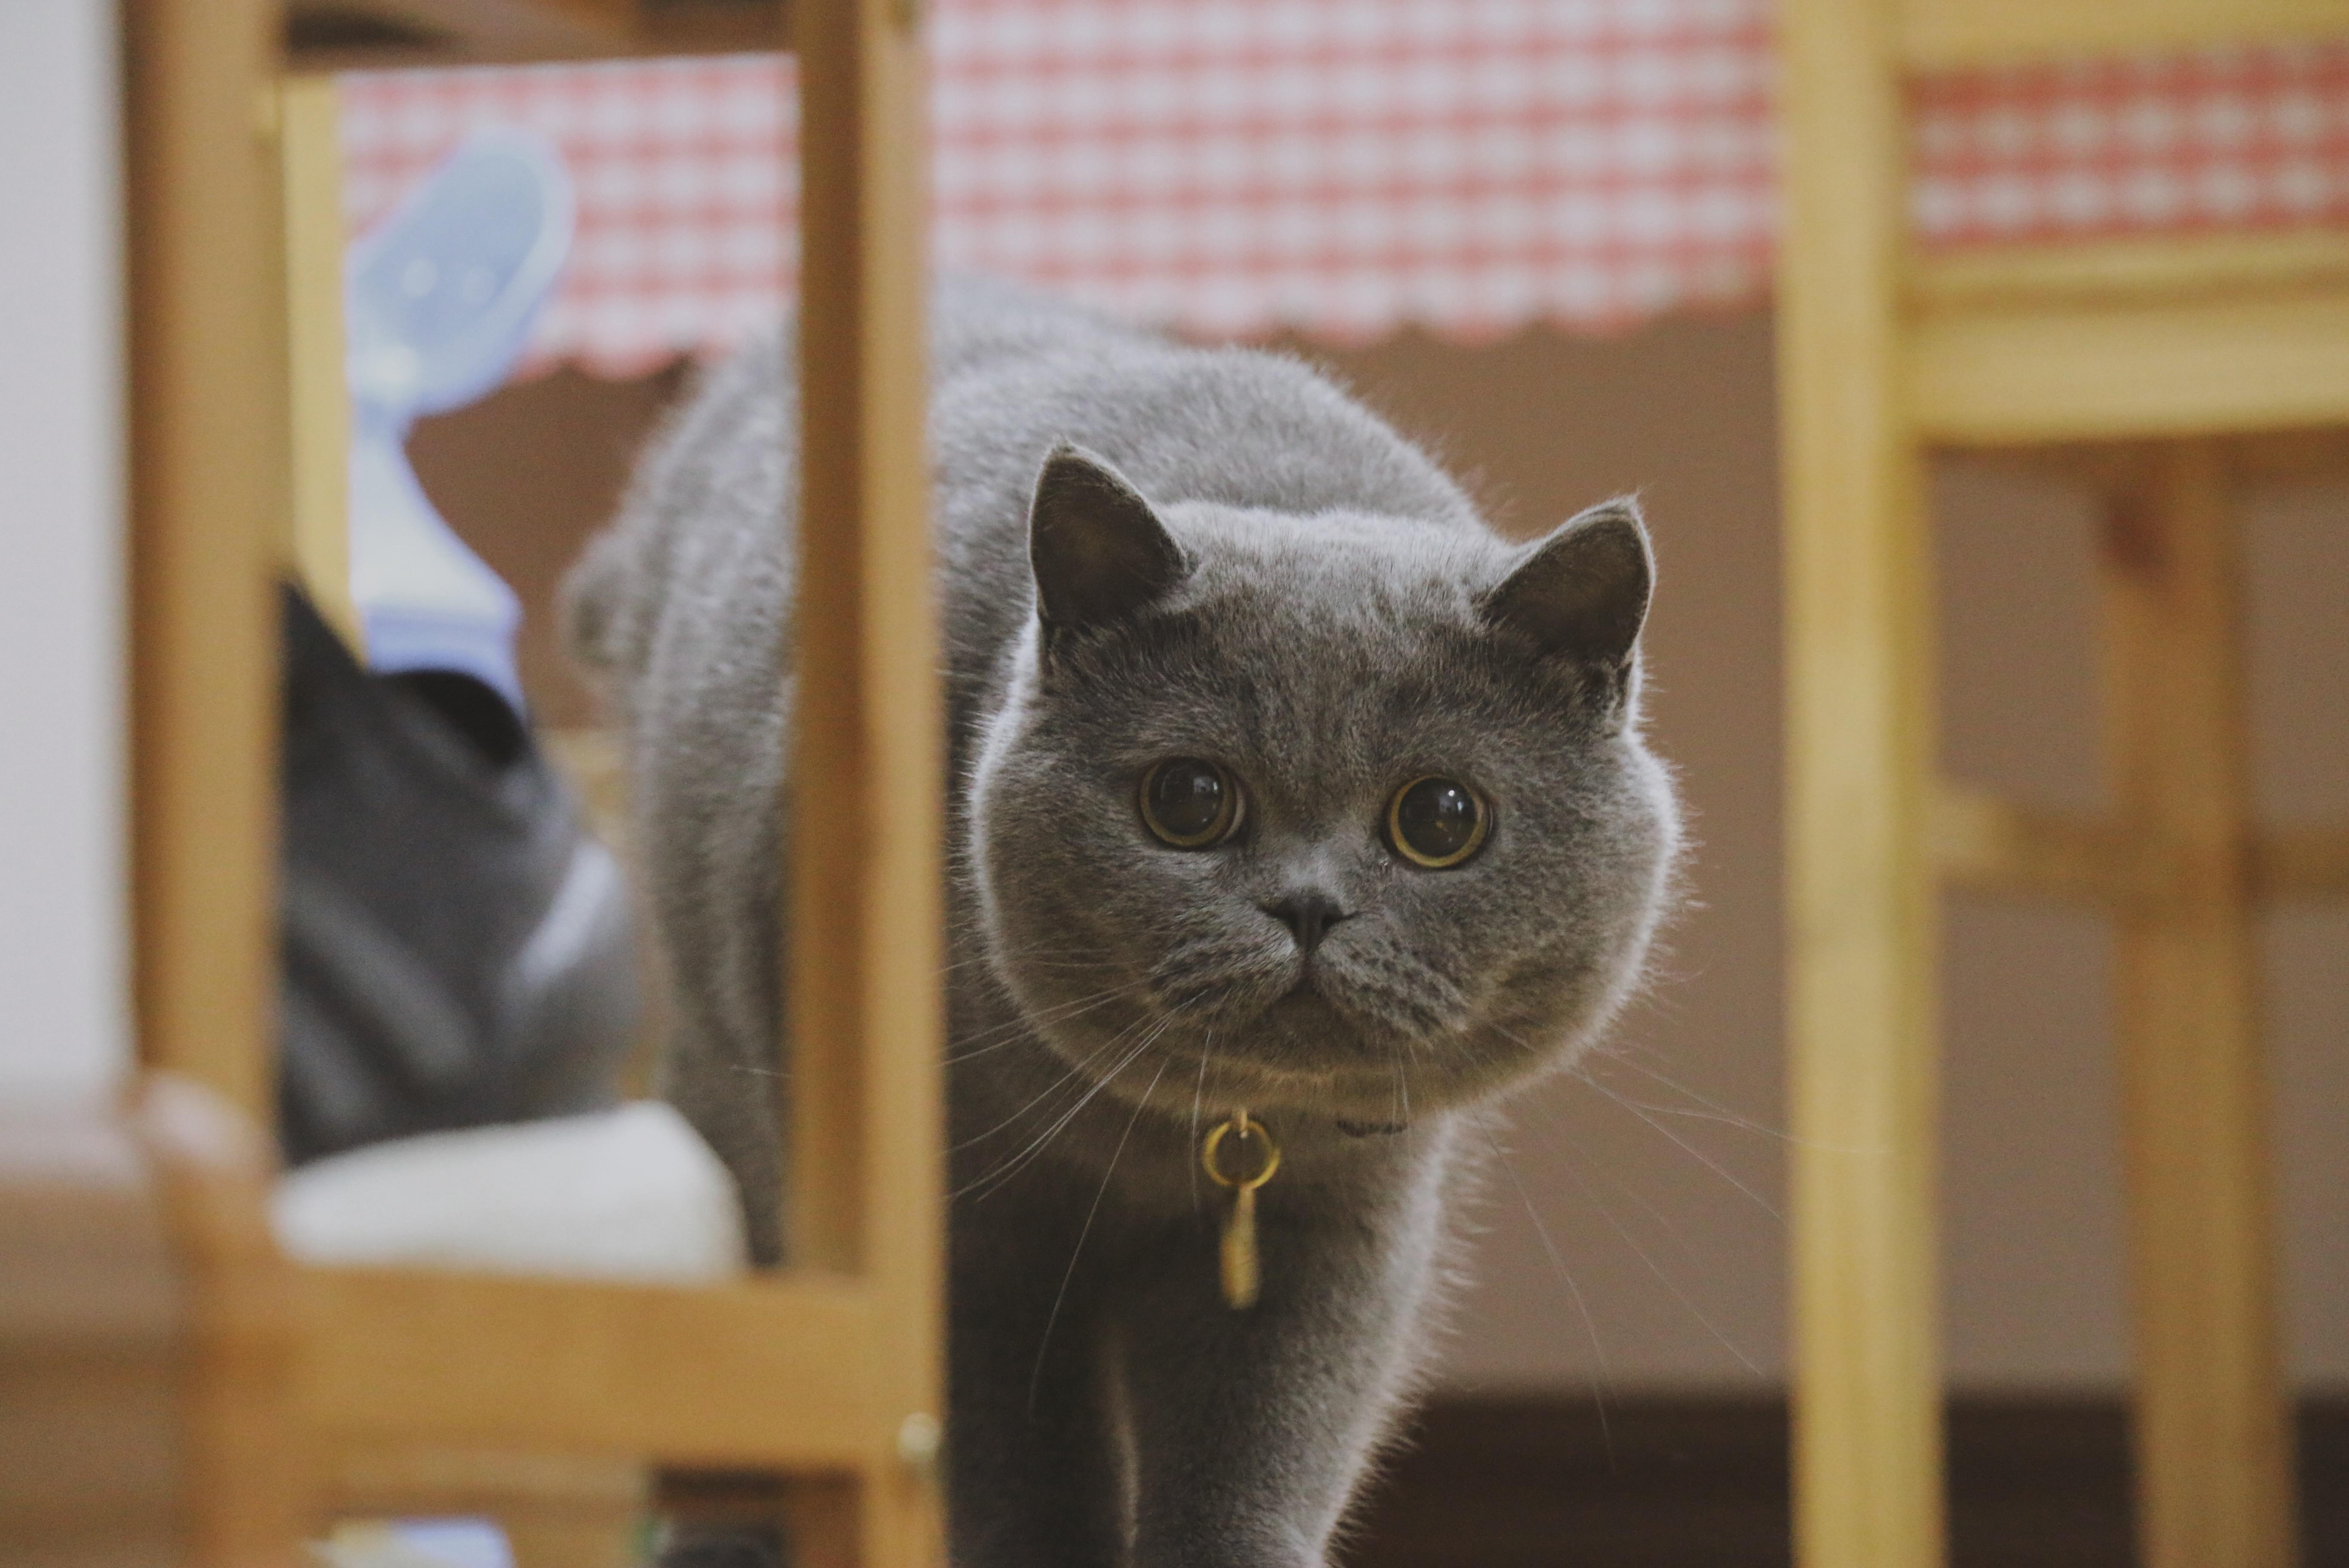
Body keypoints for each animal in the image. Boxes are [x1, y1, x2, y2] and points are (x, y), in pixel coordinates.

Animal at [561, 282, 1681, 1568]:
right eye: (1188, 800)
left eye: (1441, 819)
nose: (1307, 906)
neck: (1188, 1142)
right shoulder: (973, 1244)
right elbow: (1021, 1478)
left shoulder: (1335, 1231)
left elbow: (1257, 1458)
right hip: (729, 1088)